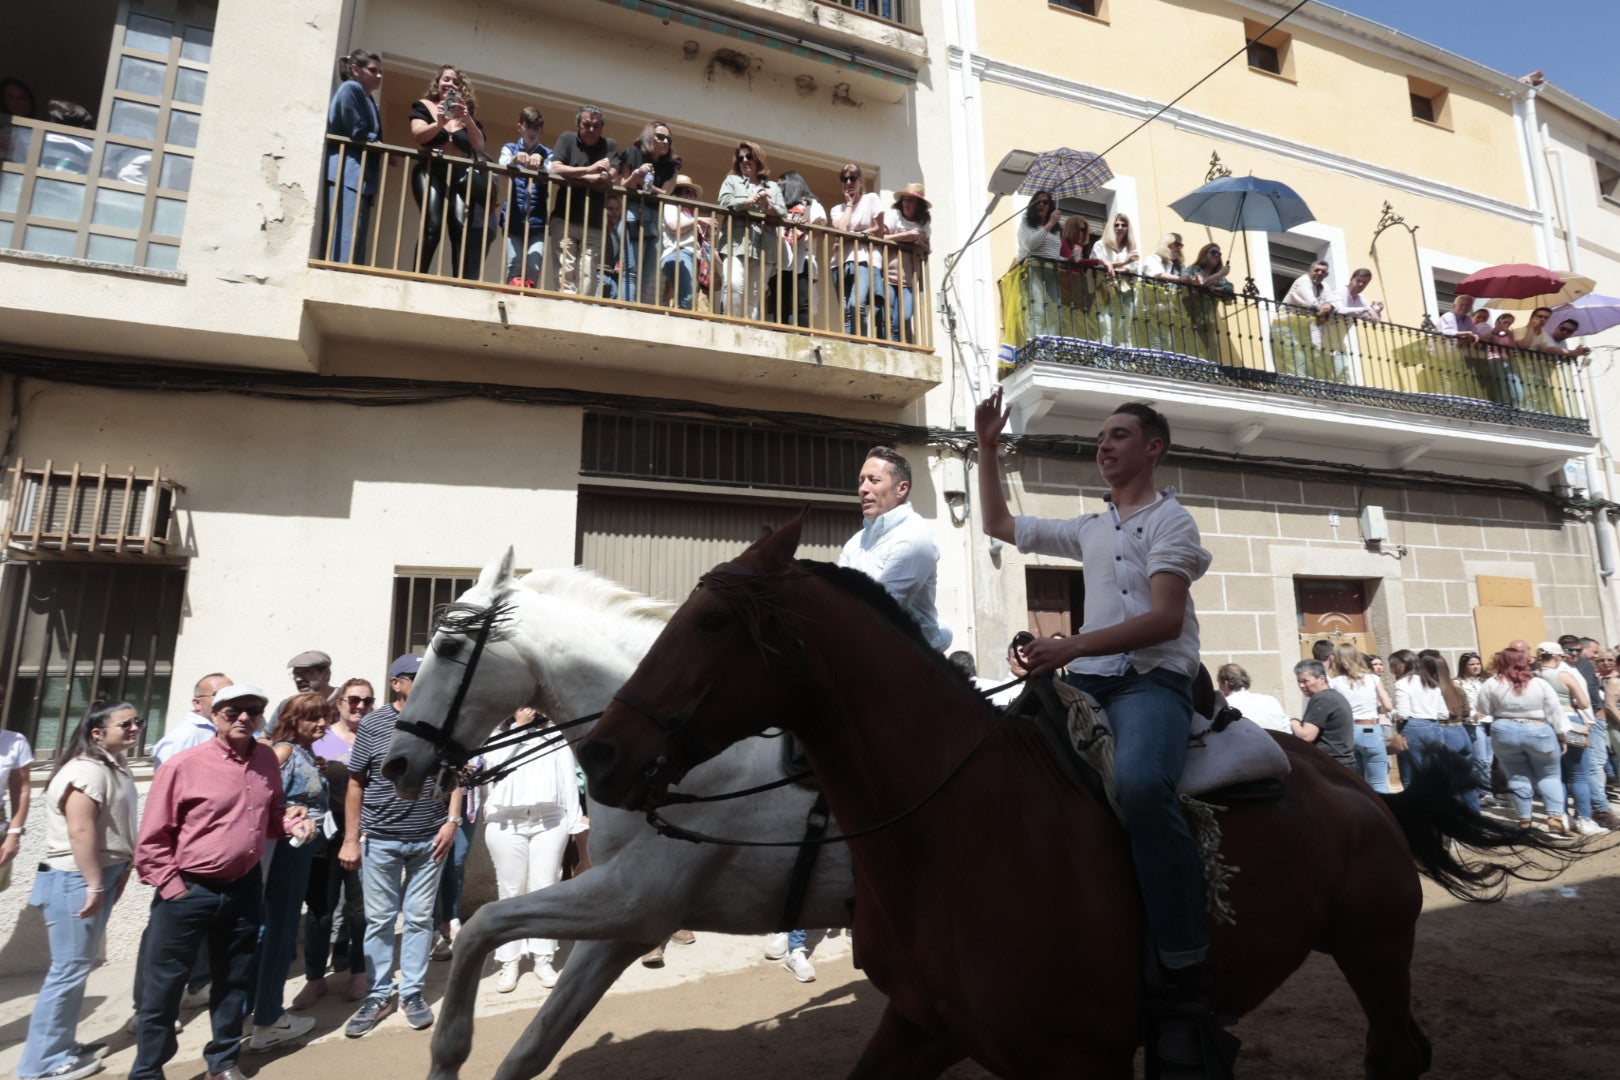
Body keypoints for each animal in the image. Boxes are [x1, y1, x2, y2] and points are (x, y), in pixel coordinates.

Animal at [383, 553, 855, 1075]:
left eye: (449, 646)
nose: (395, 764)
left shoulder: (635, 900)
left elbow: (480, 926)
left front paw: (448, 1056)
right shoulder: (618, 922)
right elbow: (533, 1046)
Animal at [579, 518, 1568, 1075]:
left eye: (710, 621)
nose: (600, 752)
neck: (954, 831)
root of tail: (1354, 785)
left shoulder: (1070, 1058)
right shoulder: (922, 1024)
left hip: (1375, 946)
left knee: (1397, 1051)